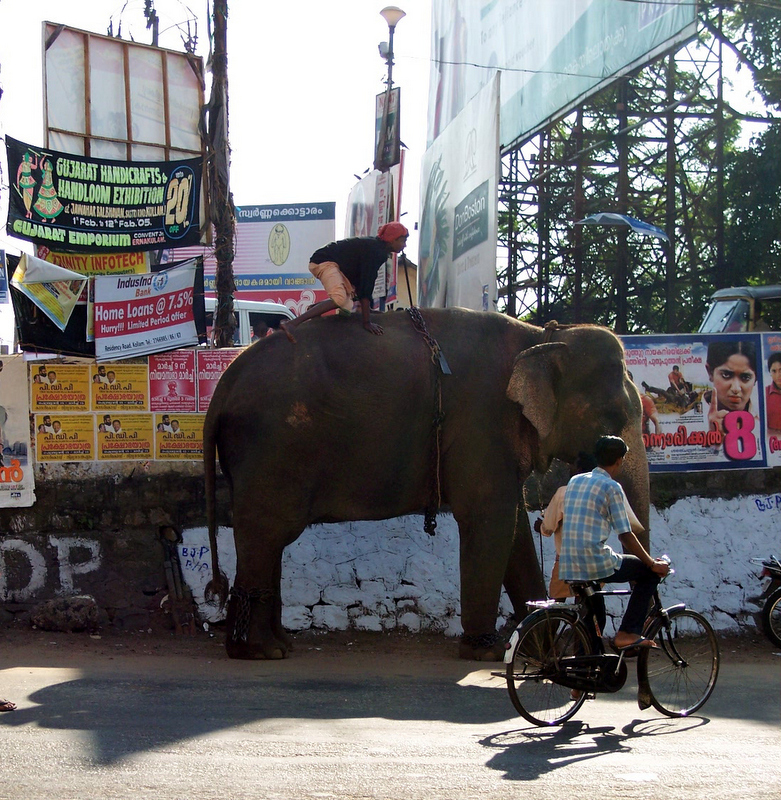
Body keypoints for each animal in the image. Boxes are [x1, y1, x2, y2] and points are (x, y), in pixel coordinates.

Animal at [204, 306, 648, 664]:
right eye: (614, 416)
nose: (621, 649)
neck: (540, 336)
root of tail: (224, 383)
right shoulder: (482, 422)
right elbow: (489, 520)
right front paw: (485, 652)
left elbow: (515, 527)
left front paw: (542, 649)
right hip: (272, 448)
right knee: (266, 533)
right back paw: (264, 652)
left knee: (268, 539)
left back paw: (277, 645)